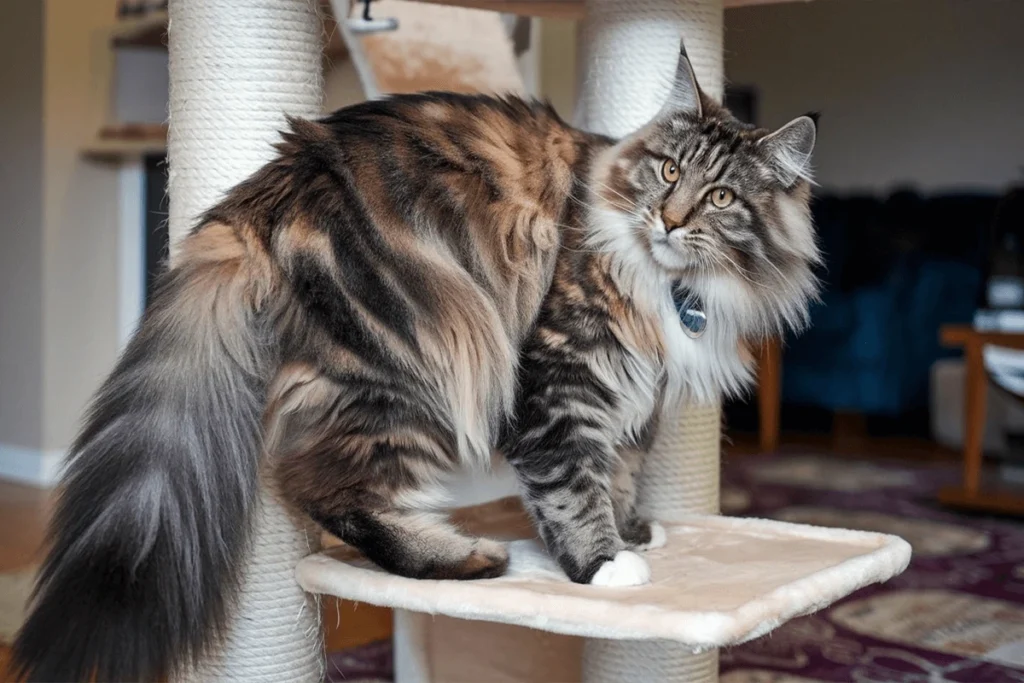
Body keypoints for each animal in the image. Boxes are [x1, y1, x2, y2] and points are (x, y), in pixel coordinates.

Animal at [12, 44, 815, 683]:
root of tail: (272, 181)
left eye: (719, 195)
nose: (671, 220)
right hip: (417, 363)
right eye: (669, 170)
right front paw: (603, 566)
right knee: (322, 486)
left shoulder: (635, 393)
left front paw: (631, 527)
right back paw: (470, 559)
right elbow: (570, 482)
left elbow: (619, 468)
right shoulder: (559, 376)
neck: (677, 286)